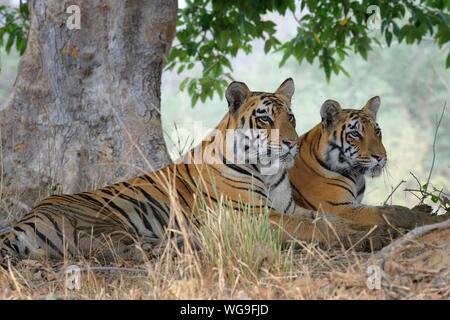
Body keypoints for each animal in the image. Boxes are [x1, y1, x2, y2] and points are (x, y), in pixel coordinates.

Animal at [0, 79, 372, 266]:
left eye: (291, 118)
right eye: (265, 118)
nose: (292, 143)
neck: (269, 172)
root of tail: (24, 220)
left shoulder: (290, 207)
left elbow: (327, 218)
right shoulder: (252, 216)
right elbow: (314, 228)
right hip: (104, 223)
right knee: (120, 249)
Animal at [288, 96, 446, 234]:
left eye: (377, 131)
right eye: (355, 134)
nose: (381, 156)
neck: (356, 175)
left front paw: (423, 208)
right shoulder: (340, 208)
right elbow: (394, 211)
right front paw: (436, 219)